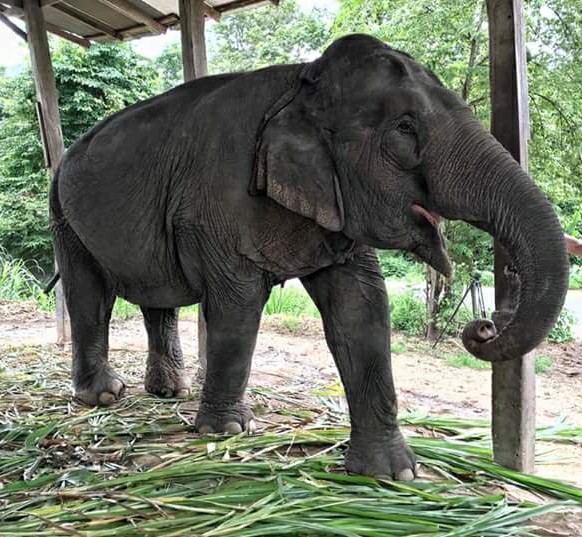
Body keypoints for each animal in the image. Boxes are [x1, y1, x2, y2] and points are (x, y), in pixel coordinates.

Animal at [50, 33, 572, 478]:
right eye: (405, 128)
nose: (484, 326)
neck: (301, 81)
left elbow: (362, 309)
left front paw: (393, 474)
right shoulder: (215, 204)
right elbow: (237, 306)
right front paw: (226, 431)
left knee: (157, 298)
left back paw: (167, 392)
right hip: (62, 211)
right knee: (89, 294)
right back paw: (104, 397)